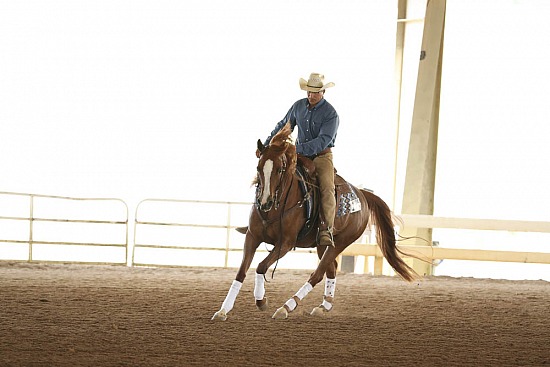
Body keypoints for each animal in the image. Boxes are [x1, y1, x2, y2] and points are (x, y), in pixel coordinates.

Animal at [212, 123, 418, 322]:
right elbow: (241, 272)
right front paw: (223, 310)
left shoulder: (285, 243)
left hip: (341, 242)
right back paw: (324, 306)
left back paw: (286, 307)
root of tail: (362, 194)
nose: (265, 202)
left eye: (280, 169)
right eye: (258, 167)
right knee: (331, 269)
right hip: (322, 245)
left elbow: (261, 266)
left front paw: (261, 301)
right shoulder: (252, 237)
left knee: (317, 274)